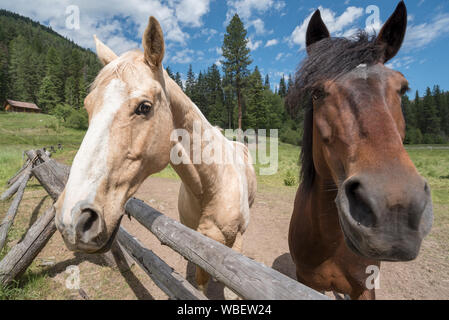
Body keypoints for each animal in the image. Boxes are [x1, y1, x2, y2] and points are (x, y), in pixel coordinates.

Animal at [53, 16, 256, 298]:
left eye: (144, 107)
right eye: (87, 106)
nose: (72, 220)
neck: (211, 185)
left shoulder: (236, 244)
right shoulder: (199, 252)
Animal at [286, 1, 432, 298]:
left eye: (403, 88)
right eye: (317, 92)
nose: (395, 208)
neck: (330, 243)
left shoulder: (365, 288)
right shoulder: (305, 281)